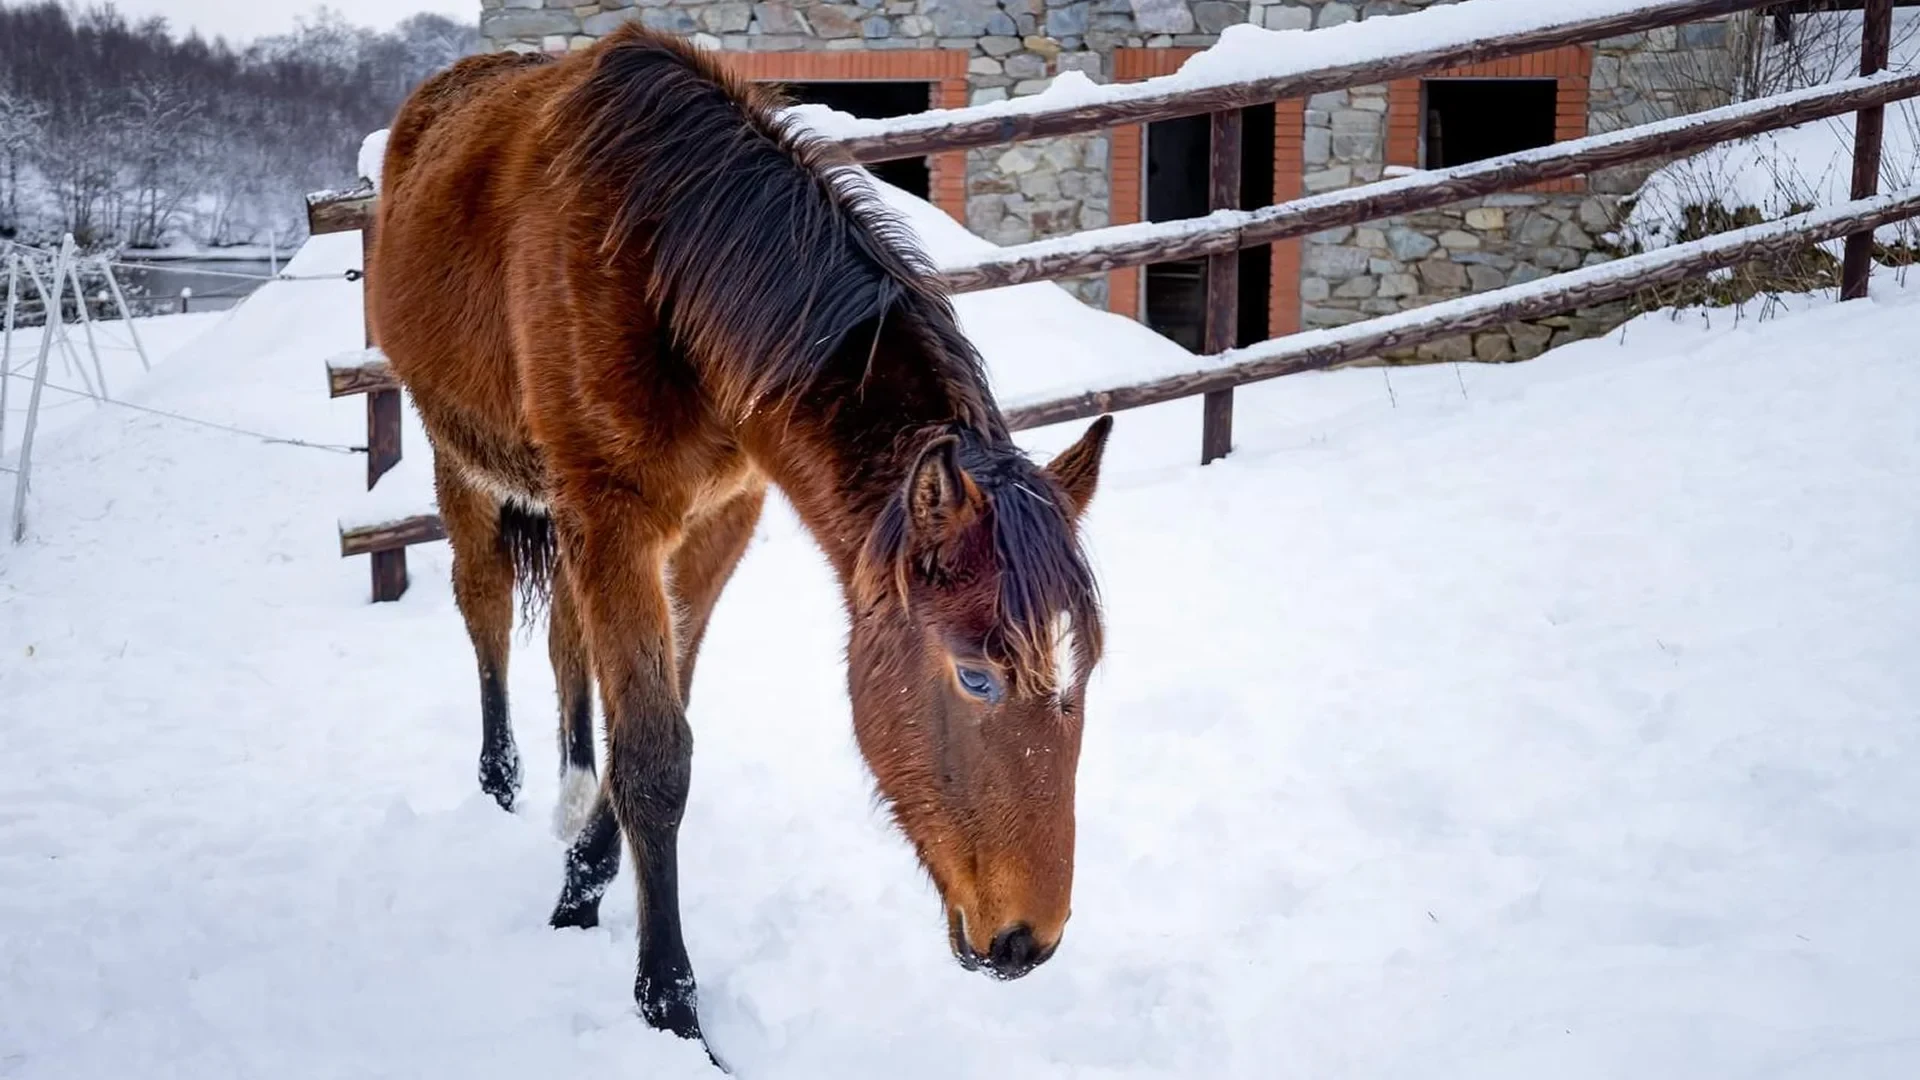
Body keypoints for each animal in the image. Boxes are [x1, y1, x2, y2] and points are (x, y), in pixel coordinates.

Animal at [367, 26, 1113, 1048]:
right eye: (976, 677)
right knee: (482, 612)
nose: (1028, 941)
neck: (660, 260)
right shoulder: (614, 515)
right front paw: (669, 1003)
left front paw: (583, 887)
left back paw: (566, 790)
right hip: (462, 462)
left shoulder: (718, 518)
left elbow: (661, 714)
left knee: (564, 641)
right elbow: (656, 756)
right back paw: (501, 784)